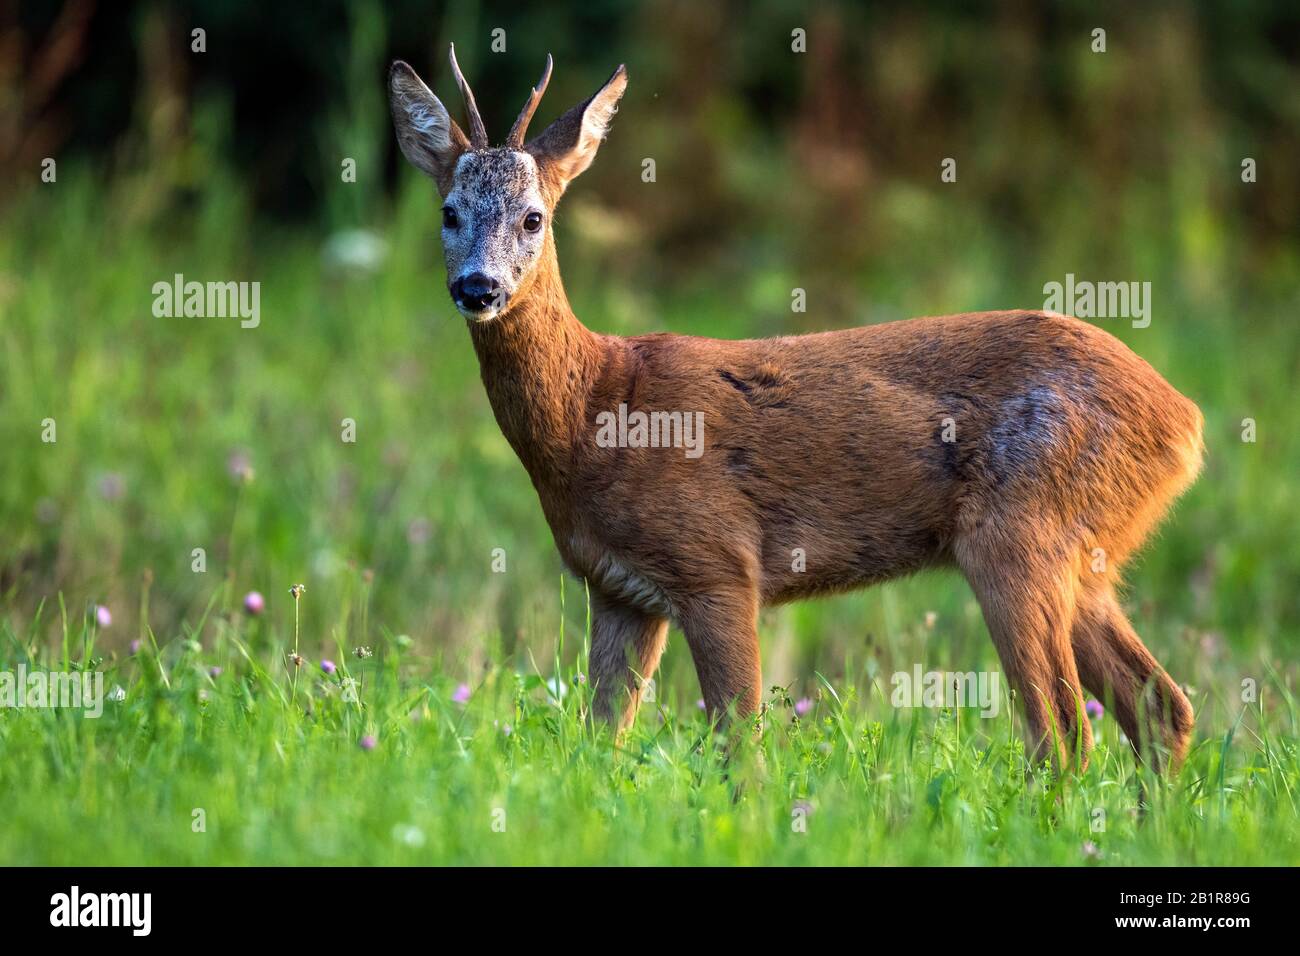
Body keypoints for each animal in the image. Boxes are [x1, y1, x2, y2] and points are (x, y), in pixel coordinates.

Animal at [388, 46, 1204, 772]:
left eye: (533, 217)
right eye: (449, 211)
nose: (478, 287)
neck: (596, 411)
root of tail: (1185, 422)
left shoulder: (718, 563)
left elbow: (739, 742)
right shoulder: (618, 591)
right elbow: (599, 742)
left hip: (1019, 536)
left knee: (1062, 732)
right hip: (1087, 558)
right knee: (1161, 707)